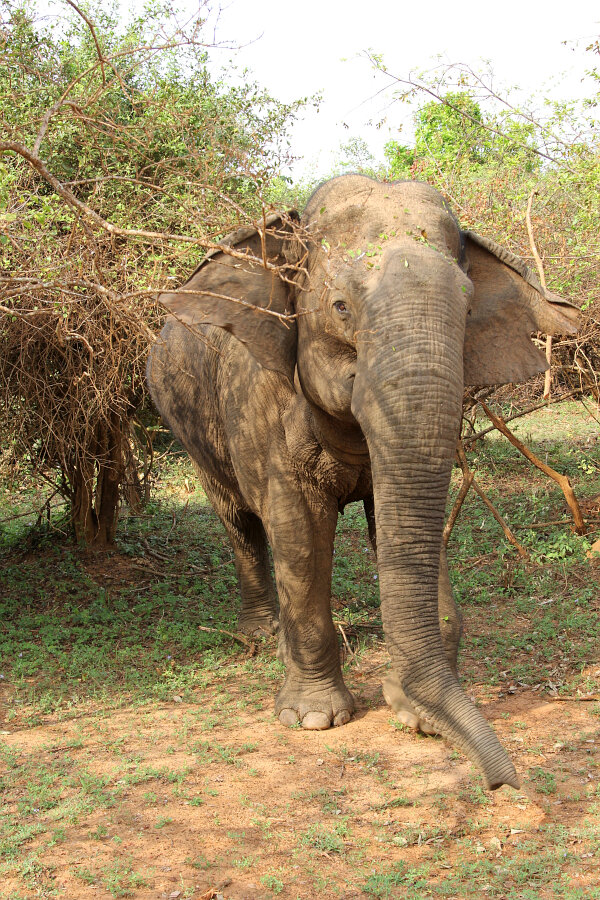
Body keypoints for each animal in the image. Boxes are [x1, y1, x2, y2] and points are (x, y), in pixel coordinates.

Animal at [147, 175, 578, 790]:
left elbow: (405, 527)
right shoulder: (265, 398)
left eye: (469, 307)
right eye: (341, 307)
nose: (505, 782)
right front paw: (313, 719)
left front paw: (414, 712)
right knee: (239, 521)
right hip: (187, 422)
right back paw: (261, 636)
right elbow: (300, 532)